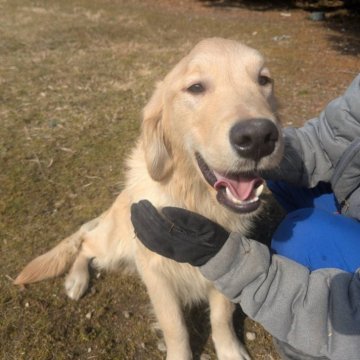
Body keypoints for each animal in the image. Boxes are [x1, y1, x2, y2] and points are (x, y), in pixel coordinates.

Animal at [14, 38, 284, 360]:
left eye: (263, 80)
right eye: (195, 87)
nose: (258, 137)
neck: (195, 202)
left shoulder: (224, 265)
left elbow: (221, 317)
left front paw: (230, 350)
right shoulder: (157, 276)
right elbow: (175, 328)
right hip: (114, 243)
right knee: (86, 243)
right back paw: (76, 280)